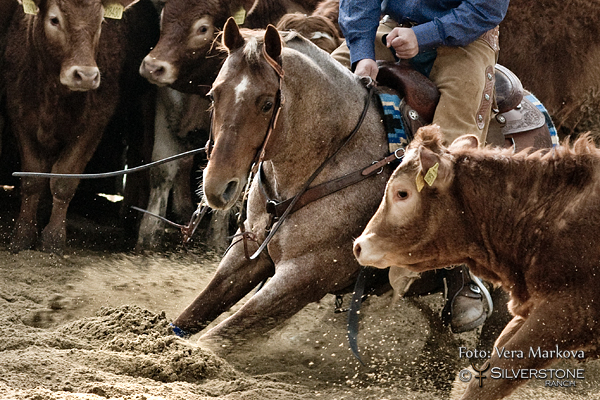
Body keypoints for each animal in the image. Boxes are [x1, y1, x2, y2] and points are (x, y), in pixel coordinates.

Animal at [4, 0, 158, 253]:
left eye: (101, 21)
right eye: (54, 20)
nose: (85, 75)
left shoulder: (94, 123)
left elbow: (64, 179)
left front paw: (53, 237)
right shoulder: (20, 116)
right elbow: (31, 178)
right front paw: (23, 234)